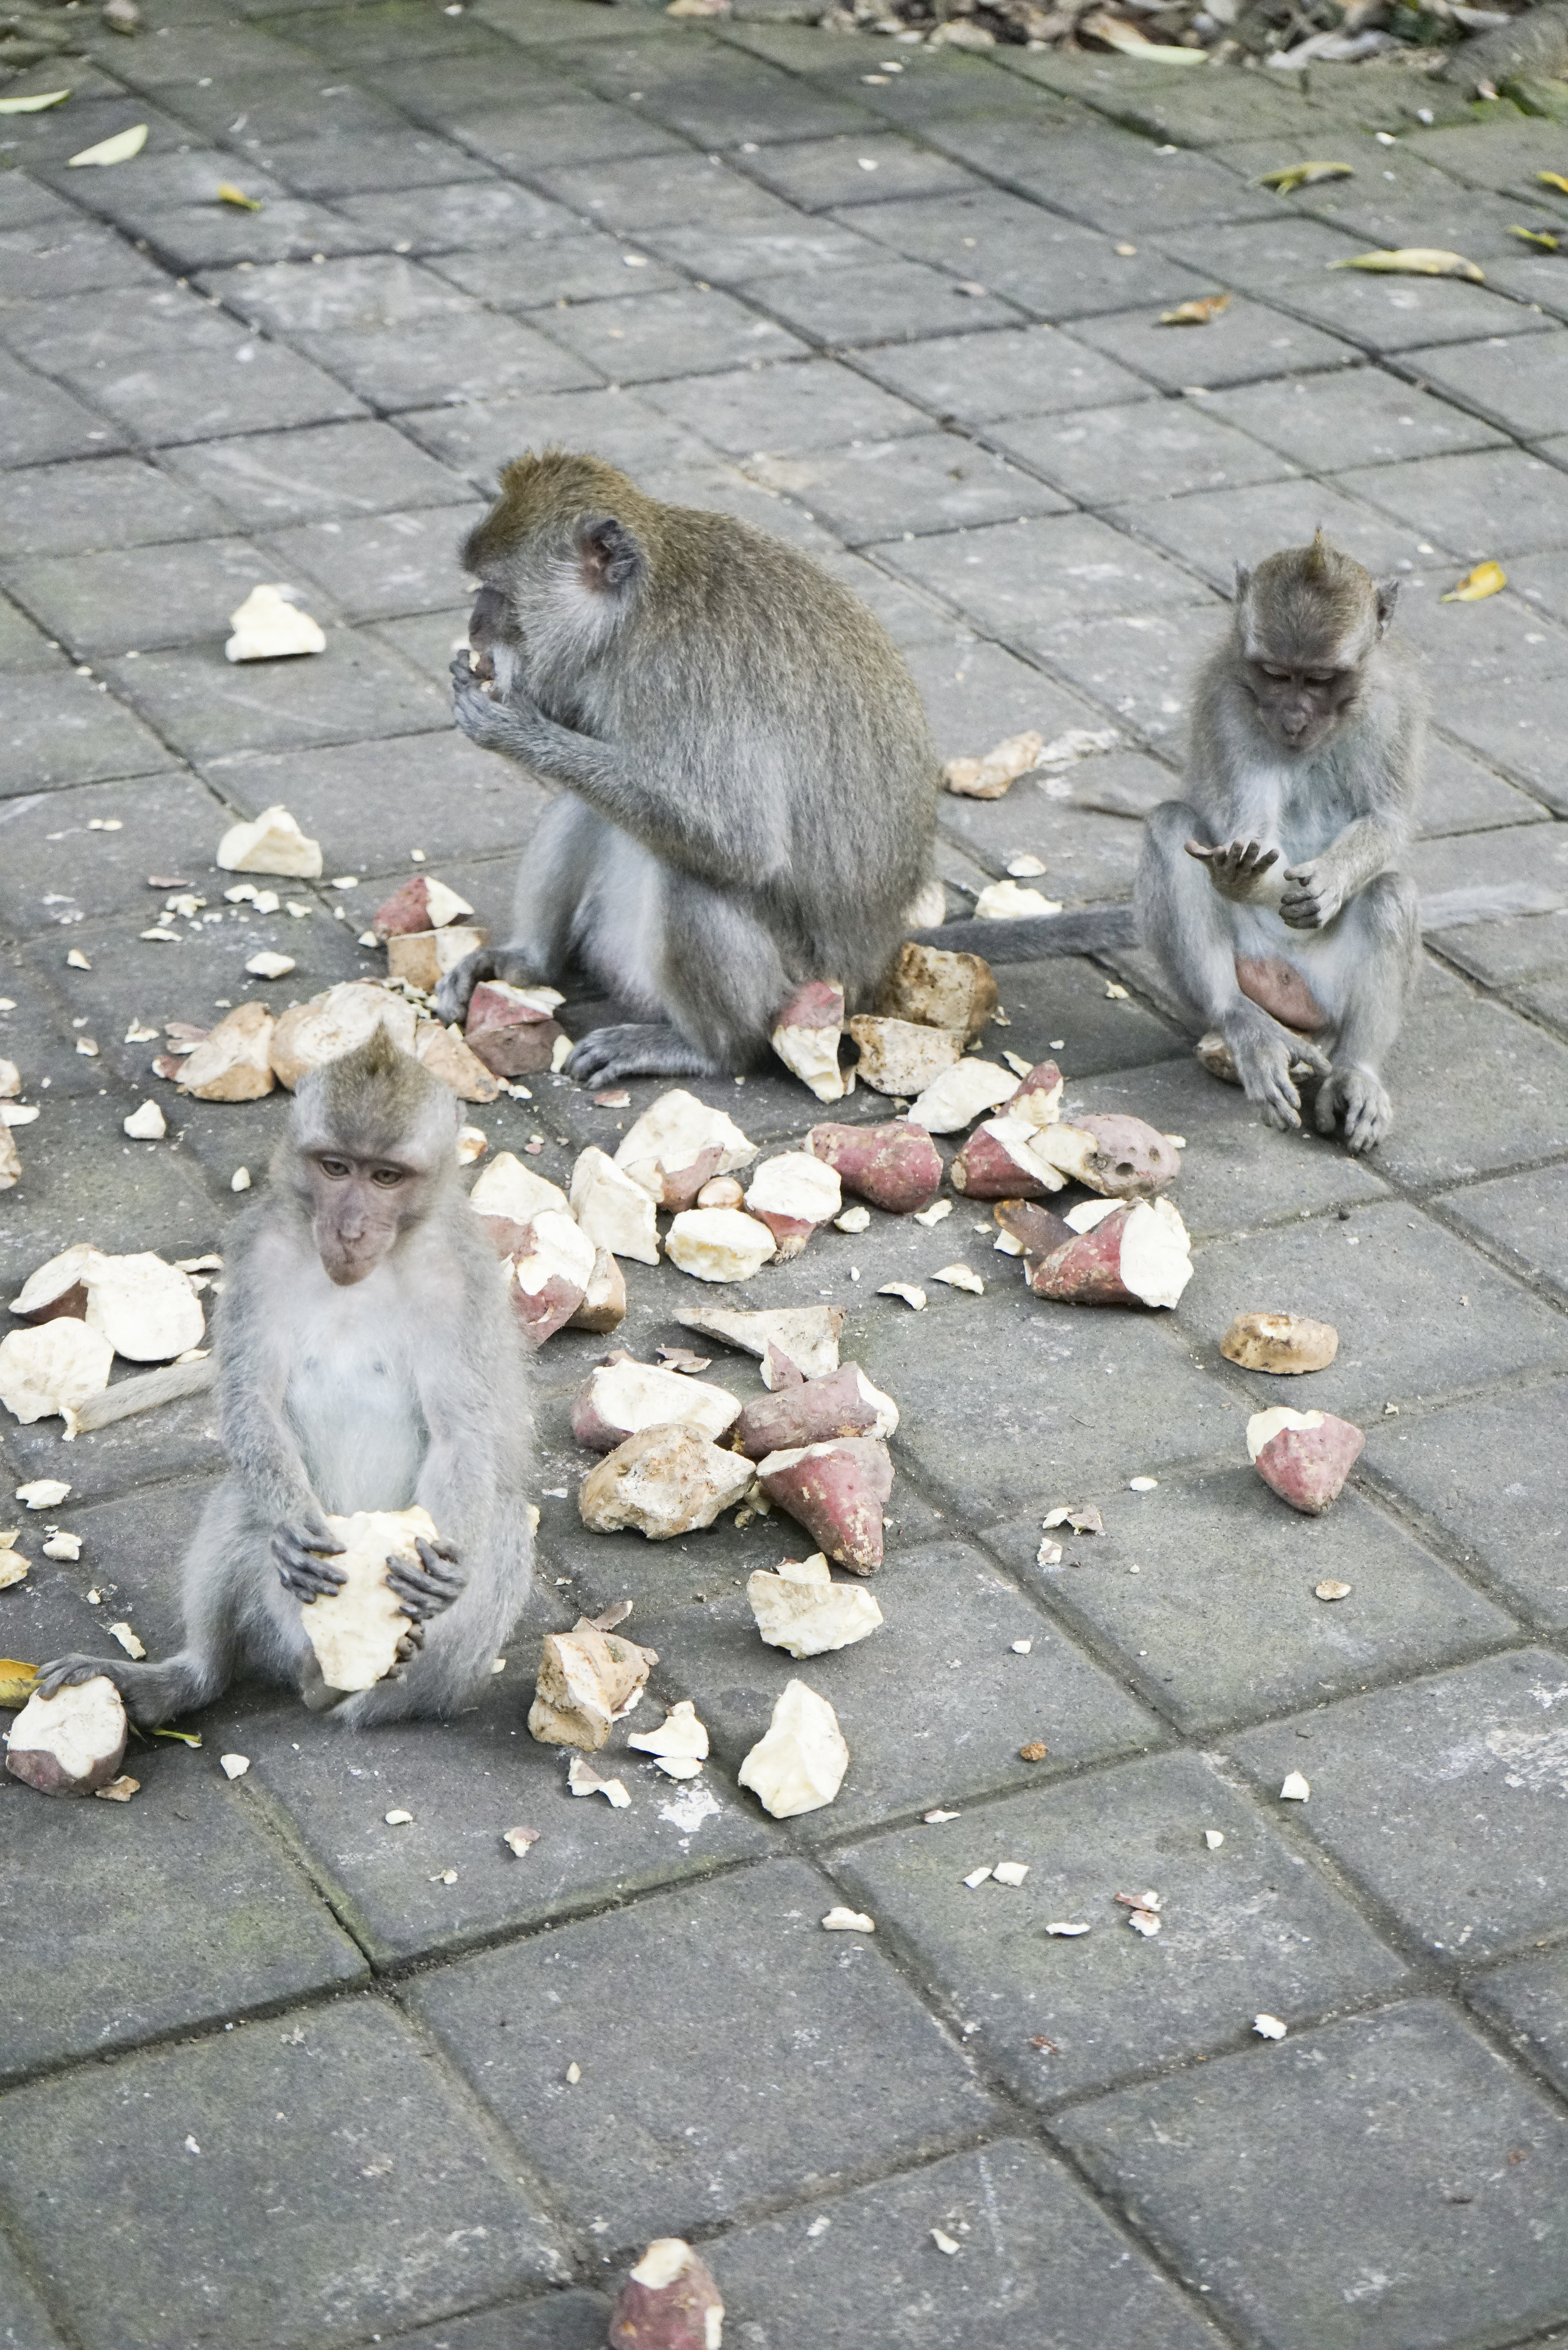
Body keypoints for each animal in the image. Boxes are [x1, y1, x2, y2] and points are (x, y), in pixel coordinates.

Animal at [35, 1029, 533, 1730]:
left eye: (385, 1176)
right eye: (335, 1168)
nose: (349, 1228)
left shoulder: (462, 1282)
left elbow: (461, 1434)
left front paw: (438, 1572)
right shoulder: (257, 1252)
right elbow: (252, 1402)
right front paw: (295, 1533)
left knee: (507, 1524)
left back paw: (367, 1690)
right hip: (280, 1616)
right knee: (241, 1504)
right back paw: (195, 1679)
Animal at [430, 444, 940, 1085]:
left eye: (496, 588)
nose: (476, 625)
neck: (633, 613)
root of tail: (871, 969)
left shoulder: (682, 680)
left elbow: (744, 844)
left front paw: (516, 731)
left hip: (801, 989)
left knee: (689, 876)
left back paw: (706, 1051)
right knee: (589, 805)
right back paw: (527, 963)